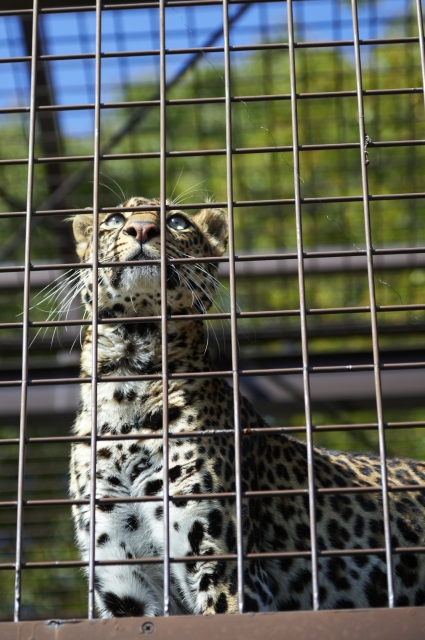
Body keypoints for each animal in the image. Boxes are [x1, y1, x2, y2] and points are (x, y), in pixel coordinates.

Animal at [69, 198, 424, 616]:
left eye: (177, 222)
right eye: (113, 219)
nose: (141, 229)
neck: (127, 387)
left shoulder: (225, 569)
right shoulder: (126, 586)